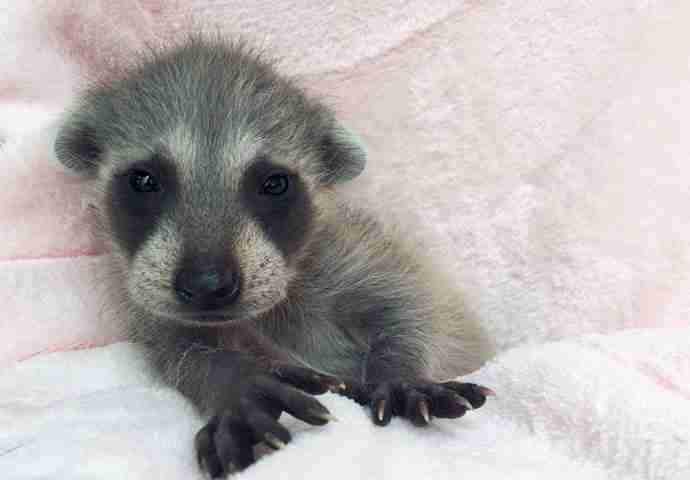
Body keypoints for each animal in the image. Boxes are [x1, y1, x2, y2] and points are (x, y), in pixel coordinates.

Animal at [54, 35, 495, 477]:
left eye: (274, 184)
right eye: (144, 181)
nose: (207, 285)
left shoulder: (353, 252)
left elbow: (418, 307)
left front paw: (399, 371)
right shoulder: (152, 303)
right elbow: (182, 354)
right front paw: (235, 381)